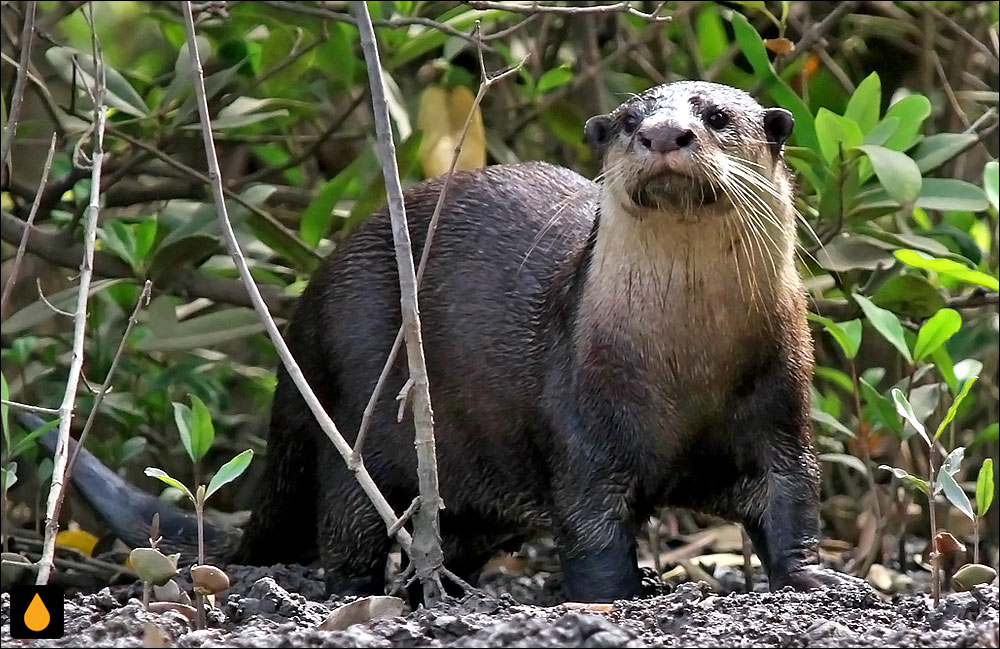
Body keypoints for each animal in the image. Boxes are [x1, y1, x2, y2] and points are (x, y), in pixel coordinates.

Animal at [41, 81, 852, 604]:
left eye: (716, 116)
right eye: (628, 121)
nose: (663, 135)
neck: (684, 364)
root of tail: (304, 320)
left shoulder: (780, 397)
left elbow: (792, 498)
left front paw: (820, 579)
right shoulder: (582, 418)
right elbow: (591, 521)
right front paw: (615, 591)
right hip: (356, 403)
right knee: (347, 527)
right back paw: (367, 592)